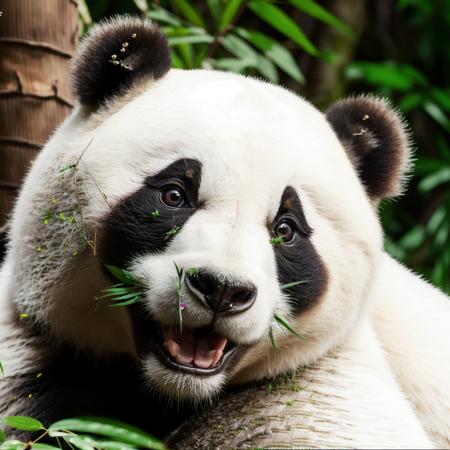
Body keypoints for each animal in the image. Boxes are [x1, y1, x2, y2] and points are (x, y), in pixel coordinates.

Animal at [0, 15, 448, 448]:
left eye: (286, 229)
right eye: (175, 195)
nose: (221, 290)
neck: (171, 392)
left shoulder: (315, 386)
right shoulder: (35, 352)